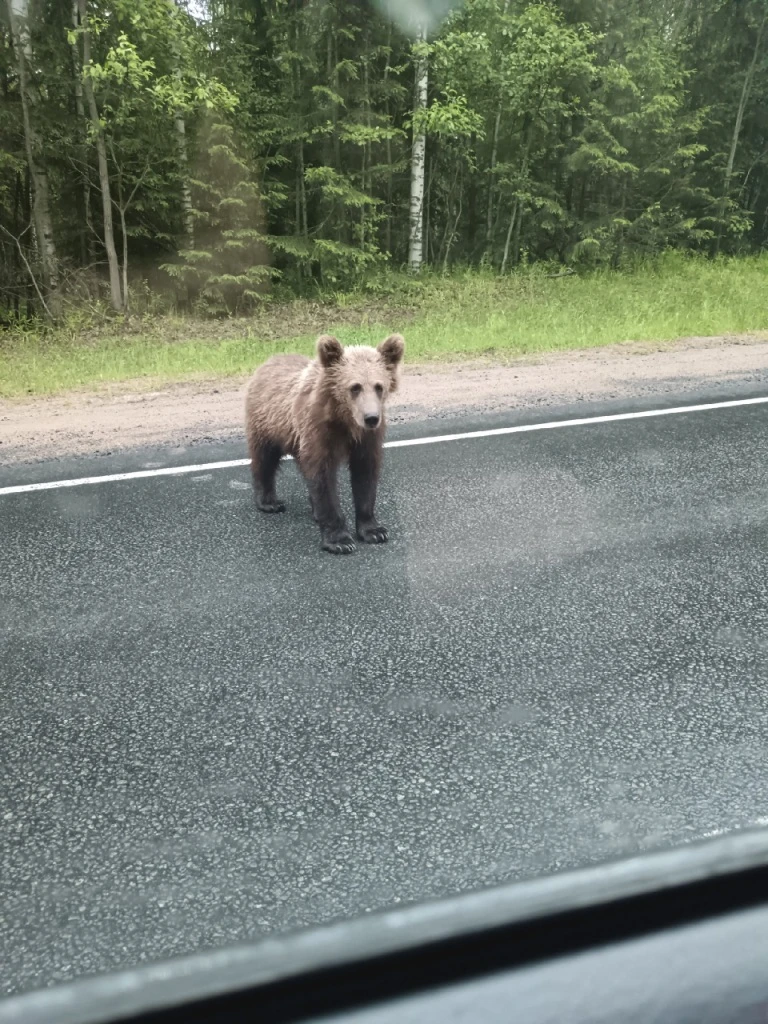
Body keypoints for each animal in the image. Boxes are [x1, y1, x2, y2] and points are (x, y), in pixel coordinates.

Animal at [244, 332, 405, 554]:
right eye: (355, 387)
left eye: (379, 386)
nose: (371, 418)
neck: (345, 421)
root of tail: (267, 362)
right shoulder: (319, 432)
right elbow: (323, 480)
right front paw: (340, 540)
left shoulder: (367, 440)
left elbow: (365, 476)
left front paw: (374, 531)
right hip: (267, 422)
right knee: (264, 458)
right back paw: (269, 502)